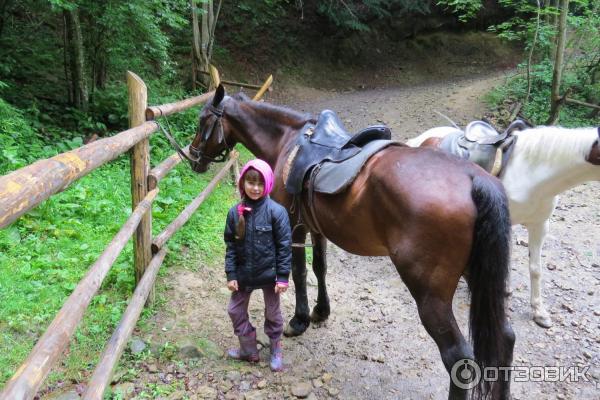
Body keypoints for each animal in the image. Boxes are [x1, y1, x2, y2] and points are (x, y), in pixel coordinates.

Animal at [190, 85, 512, 400]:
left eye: (203, 120)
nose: (193, 158)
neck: (286, 141)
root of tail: (472, 178)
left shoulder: (292, 228)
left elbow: (298, 272)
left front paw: (299, 320)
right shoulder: (315, 228)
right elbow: (319, 268)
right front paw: (321, 311)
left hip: (430, 294)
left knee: (458, 356)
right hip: (479, 277)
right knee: (505, 337)